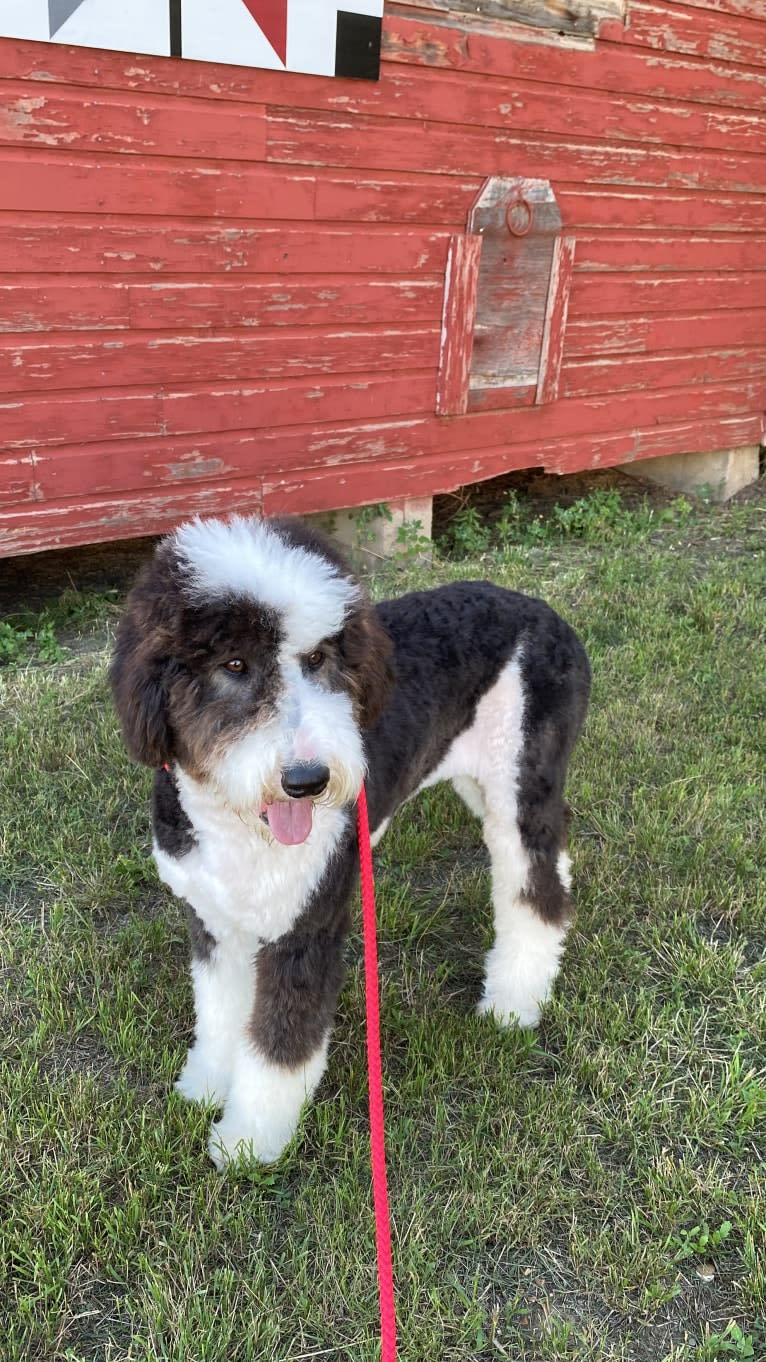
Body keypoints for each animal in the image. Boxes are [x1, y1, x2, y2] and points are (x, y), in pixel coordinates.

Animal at [110, 512, 586, 1171]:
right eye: (233, 665)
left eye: (316, 658)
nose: (307, 780)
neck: (239, 825)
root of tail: (542, 610)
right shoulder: (216, 924)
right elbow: (220, 1013)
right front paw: (206, 1086)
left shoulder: (305, 932)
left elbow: (279, 1051)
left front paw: (249, 1141)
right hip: (483, 784)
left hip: (520, 786)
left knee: (535, 893)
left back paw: (513, 1002)